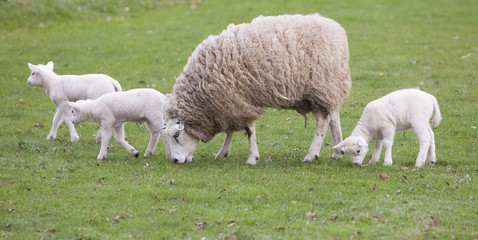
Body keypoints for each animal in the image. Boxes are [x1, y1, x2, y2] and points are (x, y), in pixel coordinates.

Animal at [164, 13, 352, 165]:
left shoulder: (238, 99)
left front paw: (252, 158)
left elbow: (249, 129)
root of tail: (337, 31)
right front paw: (223, 153)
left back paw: (312, 155)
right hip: (329, 88)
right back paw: (338, 150)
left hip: (320, 87)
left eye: (176, 136)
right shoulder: (231, 103)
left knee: (323, 121)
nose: (174, 160)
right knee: (334, 116)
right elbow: (232, 129)